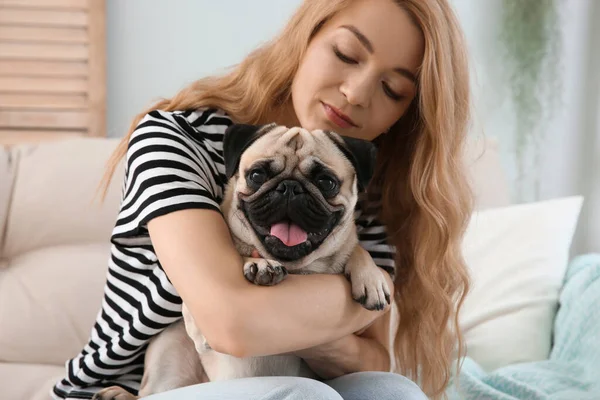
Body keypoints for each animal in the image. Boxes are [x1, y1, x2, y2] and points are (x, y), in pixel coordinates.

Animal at [94, 124, 394, 400]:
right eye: (257, 175)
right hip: (172, 351)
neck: (297, 267)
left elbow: (356, 248)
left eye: (326, 182)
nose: (290, 188)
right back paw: (119, 394)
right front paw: (260, 265)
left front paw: (371, 278)